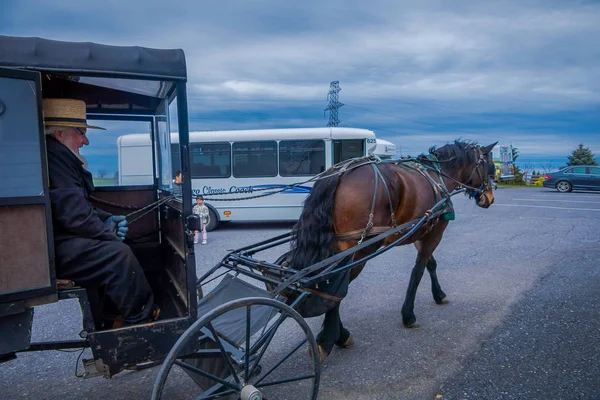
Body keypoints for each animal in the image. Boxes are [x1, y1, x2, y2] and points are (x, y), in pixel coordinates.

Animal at [286, 140, 496, 362]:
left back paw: (338, 334)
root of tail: (340, 172)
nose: (489, 198)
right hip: (360, 248)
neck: (438, 175)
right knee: (336, 285)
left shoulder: (421, 229)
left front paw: (438, 294)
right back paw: (331, 338)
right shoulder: (435, 230)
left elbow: (431, 264)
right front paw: (408, 315)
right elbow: (418, 271)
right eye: (488, 168)